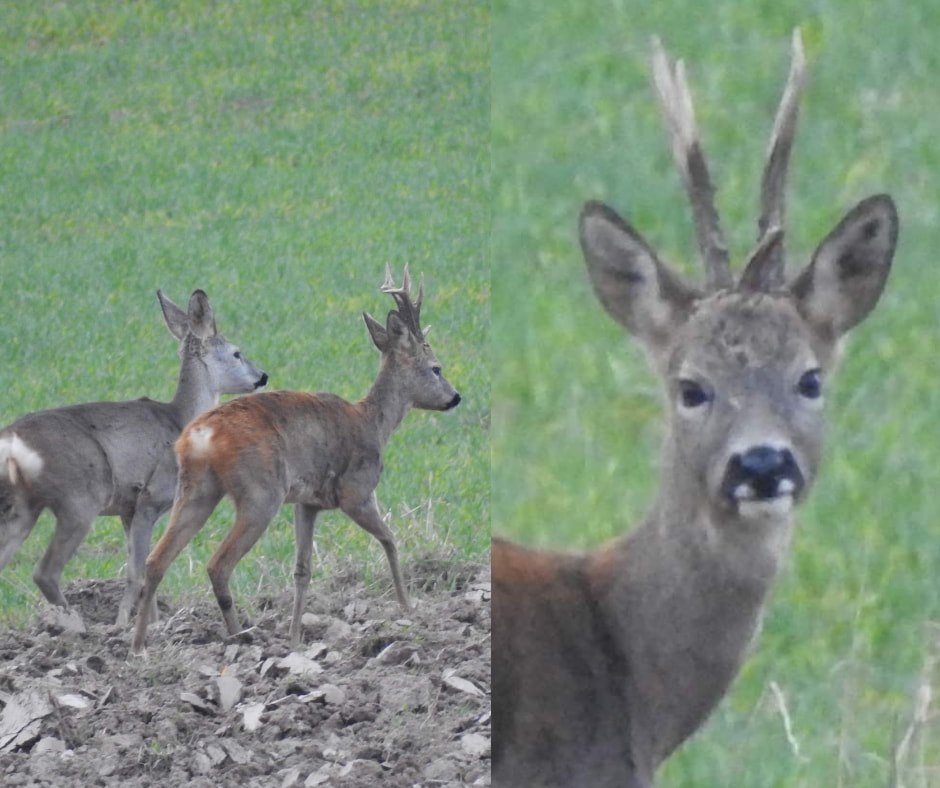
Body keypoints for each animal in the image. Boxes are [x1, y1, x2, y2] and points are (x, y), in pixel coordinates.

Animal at [0, 290, 268, 628]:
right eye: (236, 353)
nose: (262, 376)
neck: (181, 420)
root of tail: (12, 441)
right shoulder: (149, 498)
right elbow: (137, 573)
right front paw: (124, 624)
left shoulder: (127, 509)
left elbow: (146, 567)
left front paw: (152, 623)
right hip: (80, 496)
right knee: (45, 572)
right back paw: (78, 626)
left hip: (21, 505)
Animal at [130, 264, 460, 652]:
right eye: (437, 368)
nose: (455, 397)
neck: (374, 421)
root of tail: (199, 435)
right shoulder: (356, 490)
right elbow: (390, 540)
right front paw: (407, 607)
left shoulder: (308, 502)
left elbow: (302, 569)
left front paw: (295, 637)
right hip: (261, 493)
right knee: (218, 564)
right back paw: (240, 636)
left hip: (196, 489)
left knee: (156, 559)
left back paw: (139, 645)